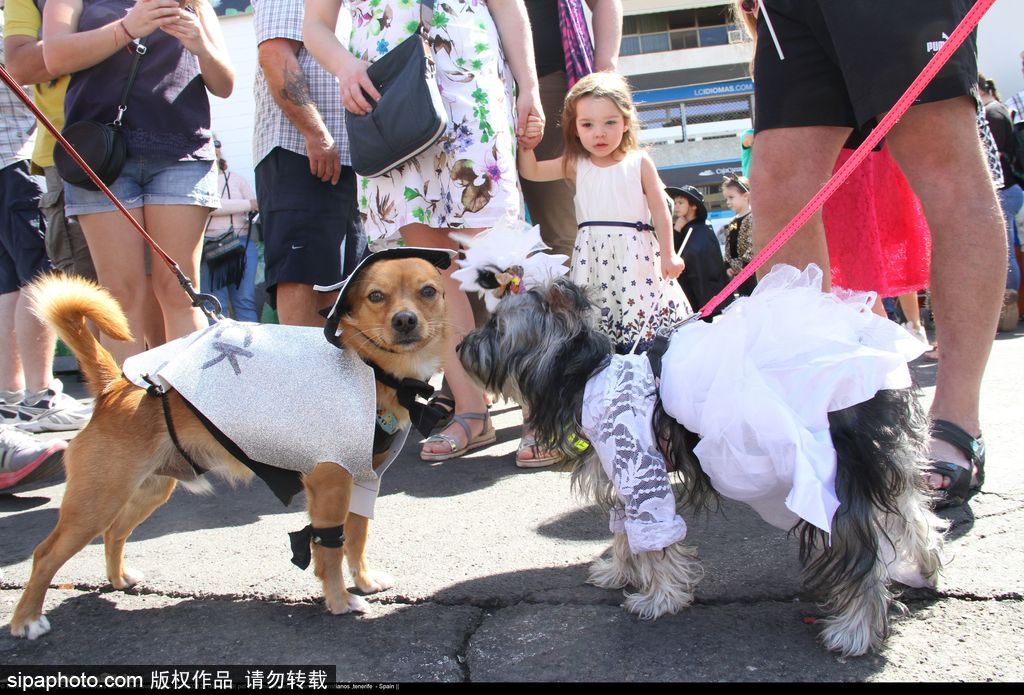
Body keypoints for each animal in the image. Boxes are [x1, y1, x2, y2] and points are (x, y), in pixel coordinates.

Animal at [8, 255, 448, 642]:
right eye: (376, 296)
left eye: (428, 291)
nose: (405, 320)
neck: (373, 370)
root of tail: (114, 387)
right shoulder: (330, 486)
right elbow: (329, 549)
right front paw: (340, 601)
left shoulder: (364, 481)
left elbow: (356, 539)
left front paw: (365, 581)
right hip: (95, 502)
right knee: (45, 555)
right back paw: (26, 620)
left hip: (148, 490)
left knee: (114, 533)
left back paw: (118, 579)